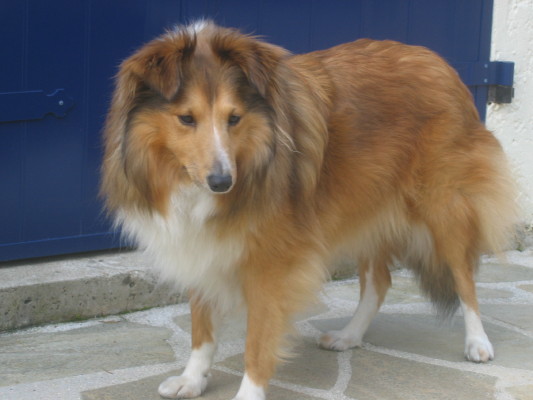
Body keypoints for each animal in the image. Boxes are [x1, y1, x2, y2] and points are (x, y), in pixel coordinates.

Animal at [101, 21, 517, 400]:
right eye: (186, 118)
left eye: (234, 118)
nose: (222, 182)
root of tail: (441, 64)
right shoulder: (200, 243)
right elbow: (201, 329)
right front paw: (192, 379)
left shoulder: (270, 263)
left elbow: (257, 342)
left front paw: (248, 393)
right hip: (366, 207)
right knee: (379, 282)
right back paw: (349, 336)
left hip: (443, 207)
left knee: (464, 276)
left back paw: (478, 343)